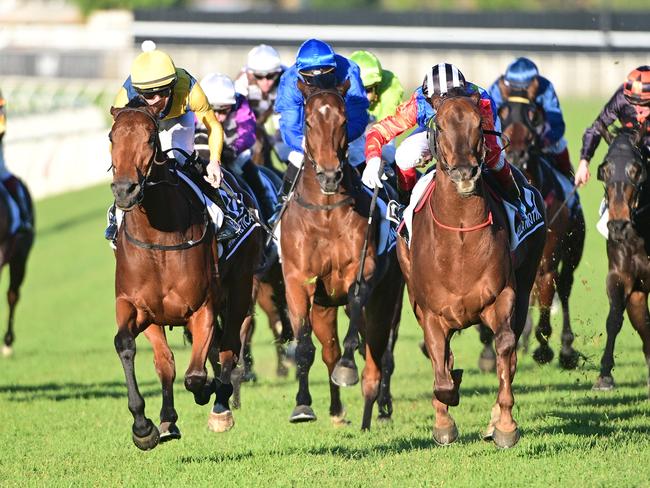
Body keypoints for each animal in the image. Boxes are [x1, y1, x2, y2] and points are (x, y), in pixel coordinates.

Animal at [108, 101, 258, 452]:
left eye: (150, 138)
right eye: (111, 137)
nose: (124, 190)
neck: (158, 239)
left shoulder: (203, 307)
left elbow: (196, 374)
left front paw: (208, 392)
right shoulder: (138, 307)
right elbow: (140, 352)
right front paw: (147, 426)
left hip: (242, 284)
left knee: (229, 344)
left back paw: (221, 406)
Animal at [280, 81, 402, 430]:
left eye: (343, 121)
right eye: (308, 123)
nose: (330, 176)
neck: (325, 213)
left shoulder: (361, 270)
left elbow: (356, 316)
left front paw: (348, 368)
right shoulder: (298, 280)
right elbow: (305, 347)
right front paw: (303, 405)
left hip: (389, 298)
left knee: (380, 351)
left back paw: (377, 408)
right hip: (325, 308)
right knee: (330, 351)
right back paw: (338, 410)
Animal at [398, 93, 544, 448]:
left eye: (480, 124)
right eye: (439, 125)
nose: (465, 172)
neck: (460, 235)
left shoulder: (502, 296)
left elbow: (505, 346)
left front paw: (504, 424)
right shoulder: (430, 312)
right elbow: (440, 368)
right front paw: (444, 419)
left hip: (527, 279)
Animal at [476, 92, 584, 370]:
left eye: (532, 121)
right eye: (505, 117)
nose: (517, 156)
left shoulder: (547, 259)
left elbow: (546, 291)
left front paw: (543, 348)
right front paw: (488, 351)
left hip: (573, 250)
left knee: (564, 288)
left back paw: (566, 349)